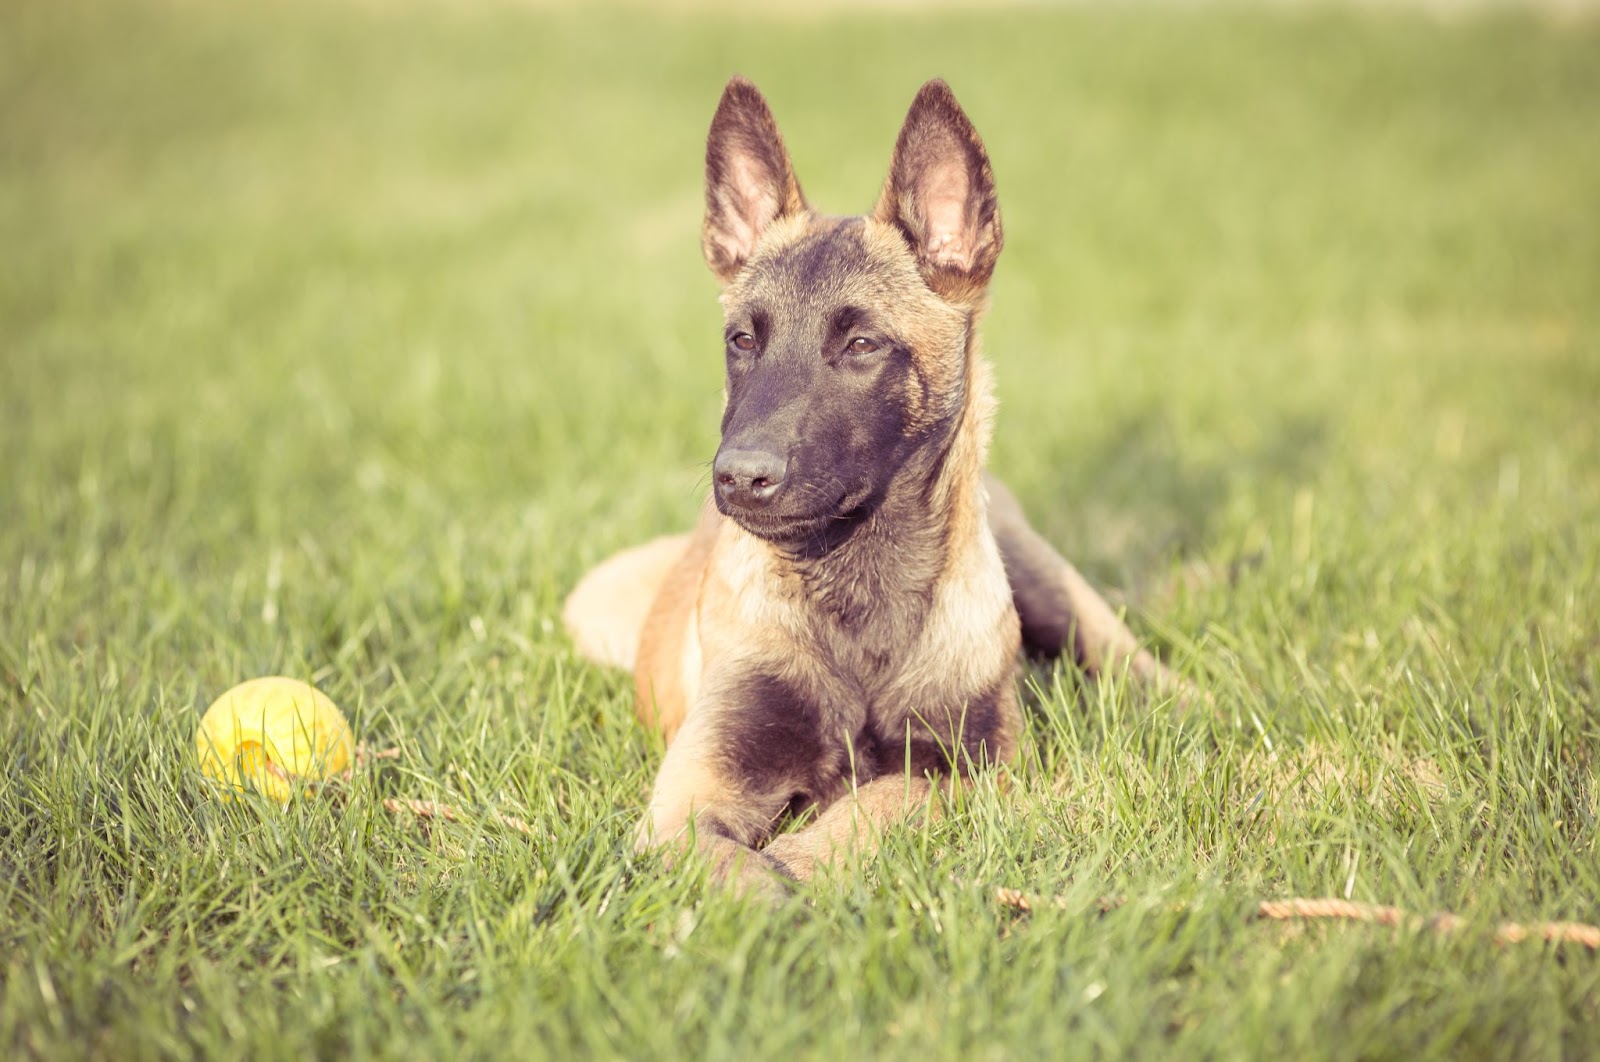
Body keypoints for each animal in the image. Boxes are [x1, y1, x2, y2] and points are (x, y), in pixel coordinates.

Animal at [569, 74, 1184, 895]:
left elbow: (890, 794)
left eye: (861, 344)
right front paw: (775, 891)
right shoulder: (686, 798)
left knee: (1136, 666)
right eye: (742, 340)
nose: (737, 478)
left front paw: (809, 856)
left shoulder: (983, 768)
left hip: (1053, 587)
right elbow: (728, 858)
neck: (860, 598)